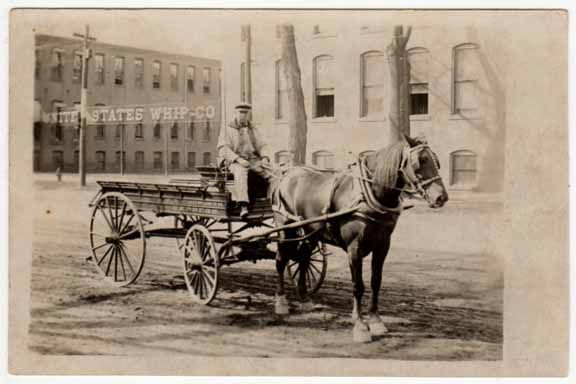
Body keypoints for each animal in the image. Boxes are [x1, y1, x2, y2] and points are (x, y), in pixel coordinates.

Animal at [270, 134, 450, 342]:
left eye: (436, 161)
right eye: (420, 161)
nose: (441, 197)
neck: (371, 194)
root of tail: (287, 175)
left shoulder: (383, 246)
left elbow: (375, 282)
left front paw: (376, 321)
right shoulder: (354, 248)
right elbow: (358, 285)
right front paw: (361, 326)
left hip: (311, 232)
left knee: (304, 258)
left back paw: (305, 299)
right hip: (285, 228)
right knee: (281, 260)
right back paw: (281, 301)